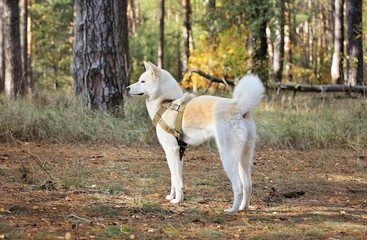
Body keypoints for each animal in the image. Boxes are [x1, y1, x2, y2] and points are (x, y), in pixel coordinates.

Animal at [127, 62, 264, 212]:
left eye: (142, 81)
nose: (127, 88)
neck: (166, 103)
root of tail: (239, 107)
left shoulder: (171, 150)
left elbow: (175, 178)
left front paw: (176, 200)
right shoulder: (179, 152)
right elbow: (175, 178)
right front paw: (173, 196)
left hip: (228, 157)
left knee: (238, 186)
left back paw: (232, 210)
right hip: (244, 158)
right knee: (248, 185)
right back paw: (243, 208)